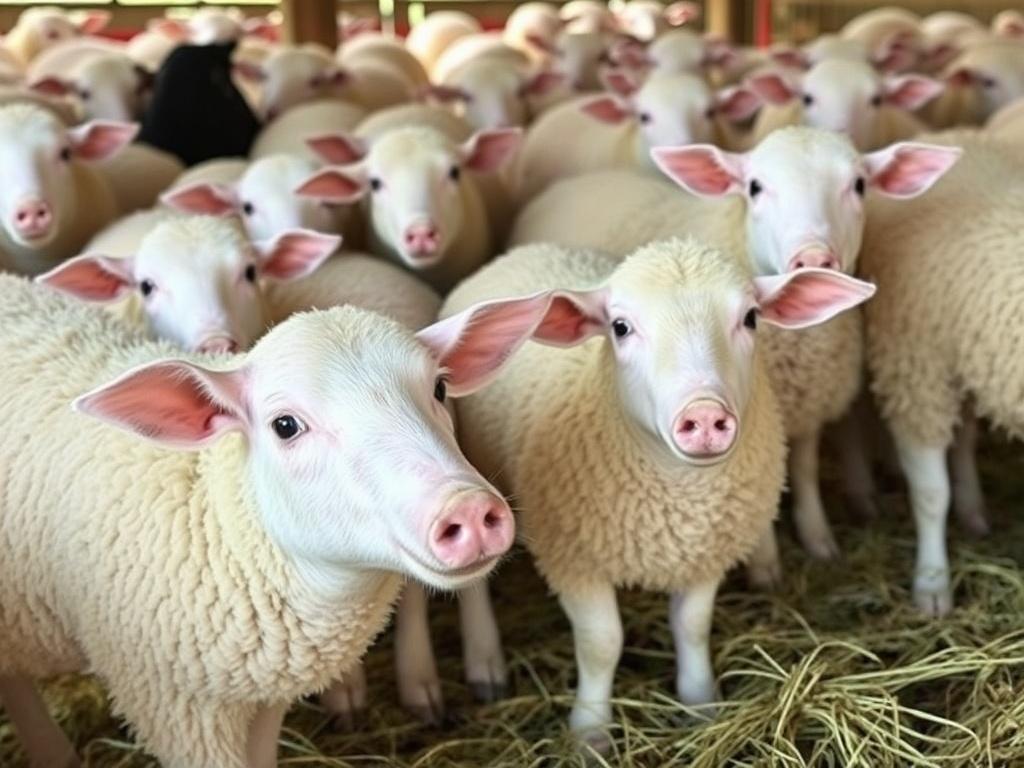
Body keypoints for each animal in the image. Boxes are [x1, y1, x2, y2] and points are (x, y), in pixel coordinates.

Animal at [0, 269, 564, 767]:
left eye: (441, 390)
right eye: (286, 426)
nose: (467, 508)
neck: (217, 521)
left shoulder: (264, 696)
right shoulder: (178, 710)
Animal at [441, 238, 875, 747]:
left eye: (750, 318)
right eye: (620, 327)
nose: (704, 414)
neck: (677, 505)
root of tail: (524, 250)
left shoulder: (706, 552)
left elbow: (692, 627)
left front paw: (701, 704)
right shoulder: (574, 559)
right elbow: (602, 644)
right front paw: (590, 731)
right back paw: (484, 659)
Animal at [509, 128, 959, 575]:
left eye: (860, 185)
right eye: (754, 187)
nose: (814, 258)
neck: (799, 347)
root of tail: (574, 182)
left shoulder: (806, 407)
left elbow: (805, 468)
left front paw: (817, 536)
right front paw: (764, 564)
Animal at [858, 129, 1024, 617]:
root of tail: (943, 136)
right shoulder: (914, 378)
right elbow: (931, 494)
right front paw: (931, 584)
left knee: (964, 439)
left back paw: (973, 510)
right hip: (923, 362)